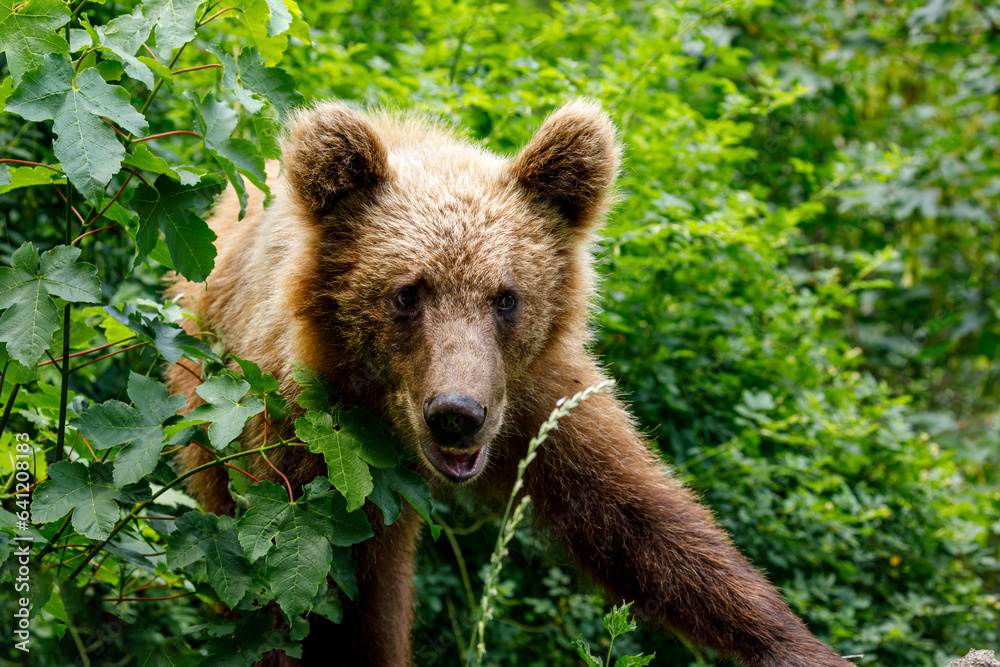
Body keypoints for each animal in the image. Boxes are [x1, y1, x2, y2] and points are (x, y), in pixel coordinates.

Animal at [166, 99, 854, 667]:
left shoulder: (539, 403)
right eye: (406, 293)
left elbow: (639, 522)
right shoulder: (300, 437)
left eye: (506, 297)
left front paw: (791, 642)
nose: (456, 413)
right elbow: (287, 596)